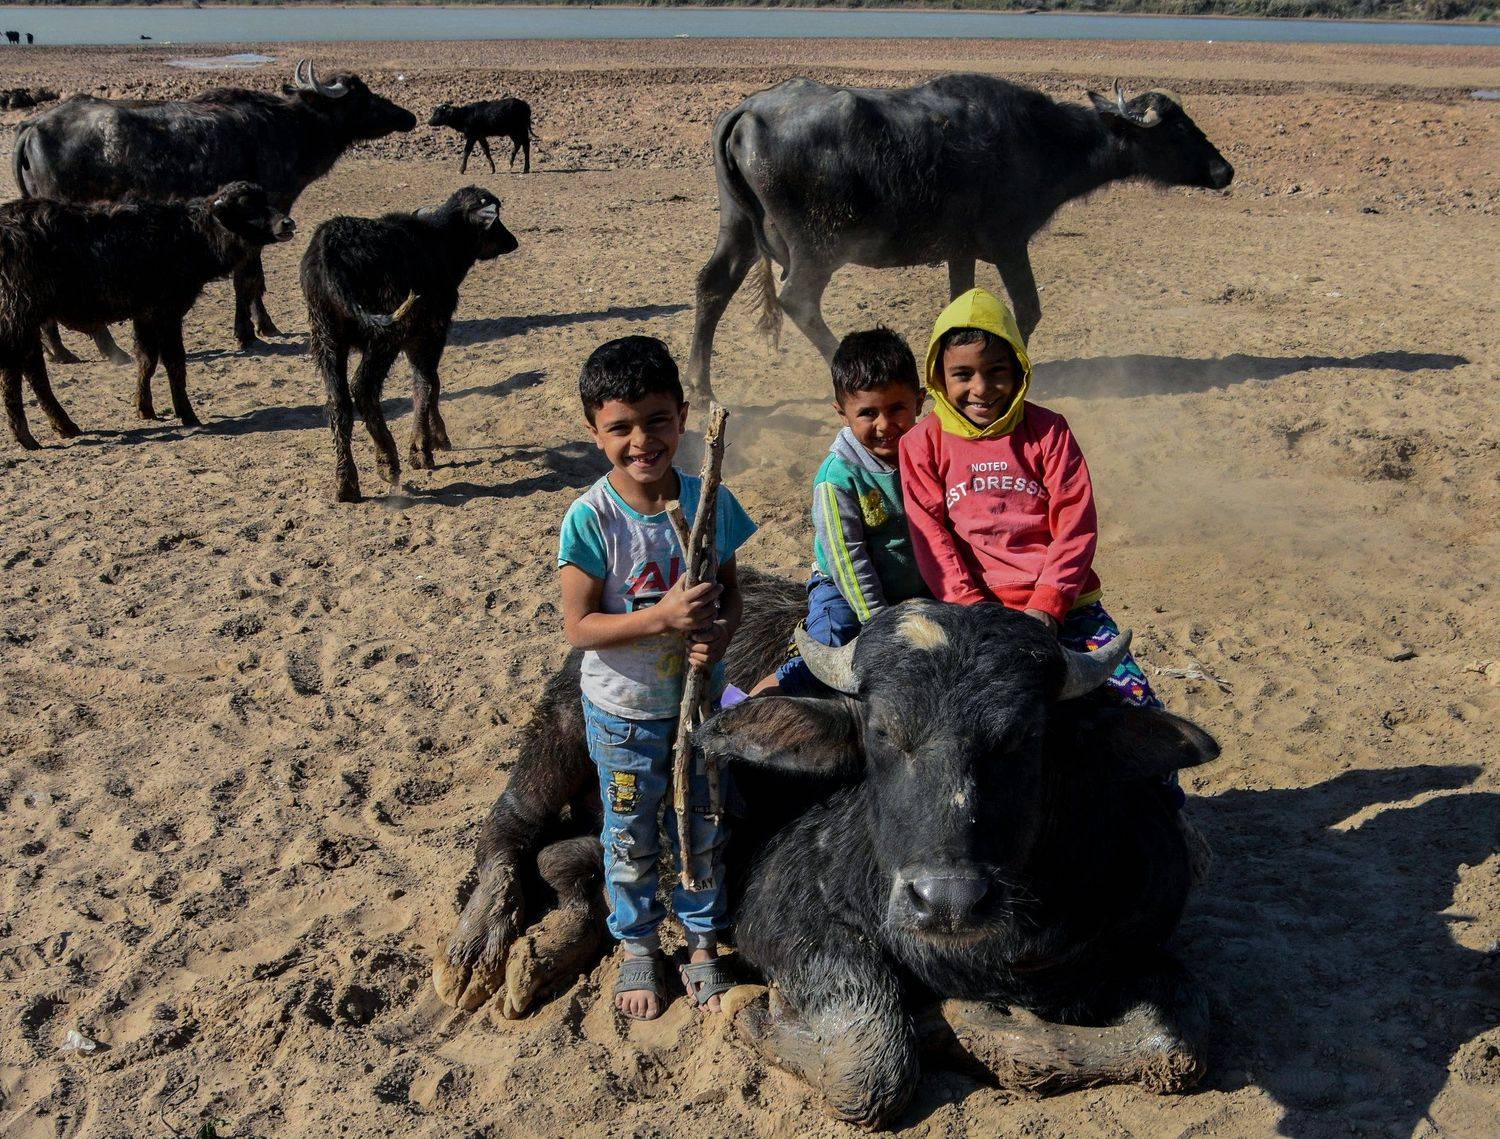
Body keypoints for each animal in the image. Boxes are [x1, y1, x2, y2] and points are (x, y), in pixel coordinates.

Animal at [1, 182, 294, 449]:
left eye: (264, 198)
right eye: (246, 205)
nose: (287, 223)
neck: (187, 235)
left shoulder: (144, 315)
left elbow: (147, 359)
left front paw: (144, 408)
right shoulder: (167, 313)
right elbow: (175, 363)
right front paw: (187, 414)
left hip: (28, 321)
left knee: (34, 369)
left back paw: (64, 426)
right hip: (18, 317)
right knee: (14, 373)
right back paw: (26, 437)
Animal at [12, 60, 415, 363]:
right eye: (362, 96)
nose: (408, 117)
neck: (287, 128)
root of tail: (33, 125)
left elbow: (255, 281)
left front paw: (265, 325)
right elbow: (247, 279)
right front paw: (247, 333)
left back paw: (61, 351)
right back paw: (110, 351)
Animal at [300, 186, 518, 503]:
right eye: (495, 219)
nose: (512, 241)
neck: (439, 243)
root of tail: (330, 250)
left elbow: (430, 383)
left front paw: (437, 437)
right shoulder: (429, 335)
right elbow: (427, 384)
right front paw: (422, 450)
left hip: (325, 338)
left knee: (338, 403)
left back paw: (346, 483)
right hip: (384, 336)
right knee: (363, 388)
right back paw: (387, 463)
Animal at [432, 570, 1219, 1127]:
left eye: (1022, 738)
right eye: (882, 733)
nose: (946, 899)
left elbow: (1176, 1042)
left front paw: (979, 1028)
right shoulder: (780, 914)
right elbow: (870, 1058)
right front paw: (750, 1008)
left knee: (573, 862)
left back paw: (547, 951)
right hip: (570, 729)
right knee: (509, 831)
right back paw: (476, 950)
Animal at [684, 75, 1234, 401]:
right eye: (1176, 129)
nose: (1224, 170)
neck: (1041, 140)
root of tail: (749, 111)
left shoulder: (960, 252)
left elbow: (960, 306)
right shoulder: (1009, 244)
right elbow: (1027, 309)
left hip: (738, 228)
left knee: (713, 285)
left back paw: (702, 386)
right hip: (818, 247)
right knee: (798, 299)